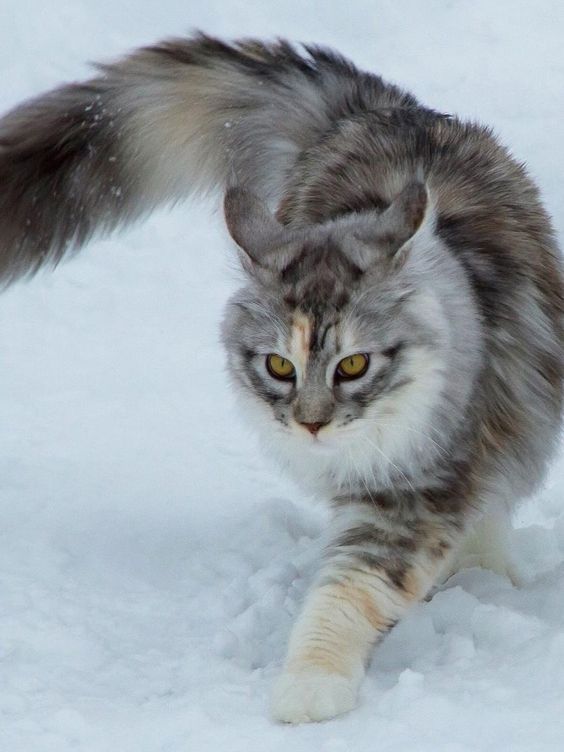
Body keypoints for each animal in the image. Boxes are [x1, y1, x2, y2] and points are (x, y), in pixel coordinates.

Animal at [1, 32, 564, 720]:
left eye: (354, 365)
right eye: (278, 366)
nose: (311, 425)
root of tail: (381, 109)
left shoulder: (420, 487)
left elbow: (346, 593)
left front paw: (310, 684)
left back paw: (485, 573)